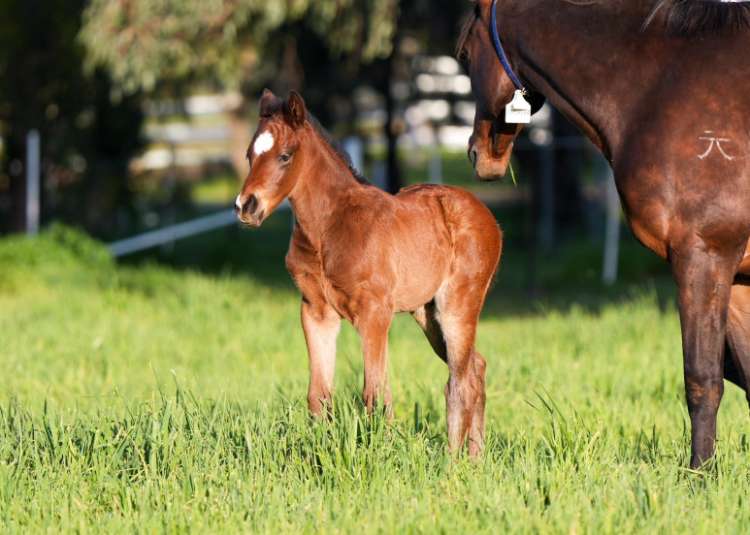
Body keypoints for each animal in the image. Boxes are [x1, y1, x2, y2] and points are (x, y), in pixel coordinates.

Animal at [235, 90, 502, 455]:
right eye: (250, 154)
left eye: (285, 156)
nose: (245, 206)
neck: (328, 228)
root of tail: (487, 216)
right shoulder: (316, 312)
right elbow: (319, 395)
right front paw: (319, 454)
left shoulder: (375, 314)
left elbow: (374, 394)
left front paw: (381, 456)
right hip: (427, 314)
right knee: (475, 368)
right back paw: (475, 458)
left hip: (458, 306)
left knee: (460, 381)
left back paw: (454, 461)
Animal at [456, 0, 750, 468]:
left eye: (465, 54)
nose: (477, 153)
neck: (663, 83)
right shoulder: (735, 273)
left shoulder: (704, 255)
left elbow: (703, 377)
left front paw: (700, 473)